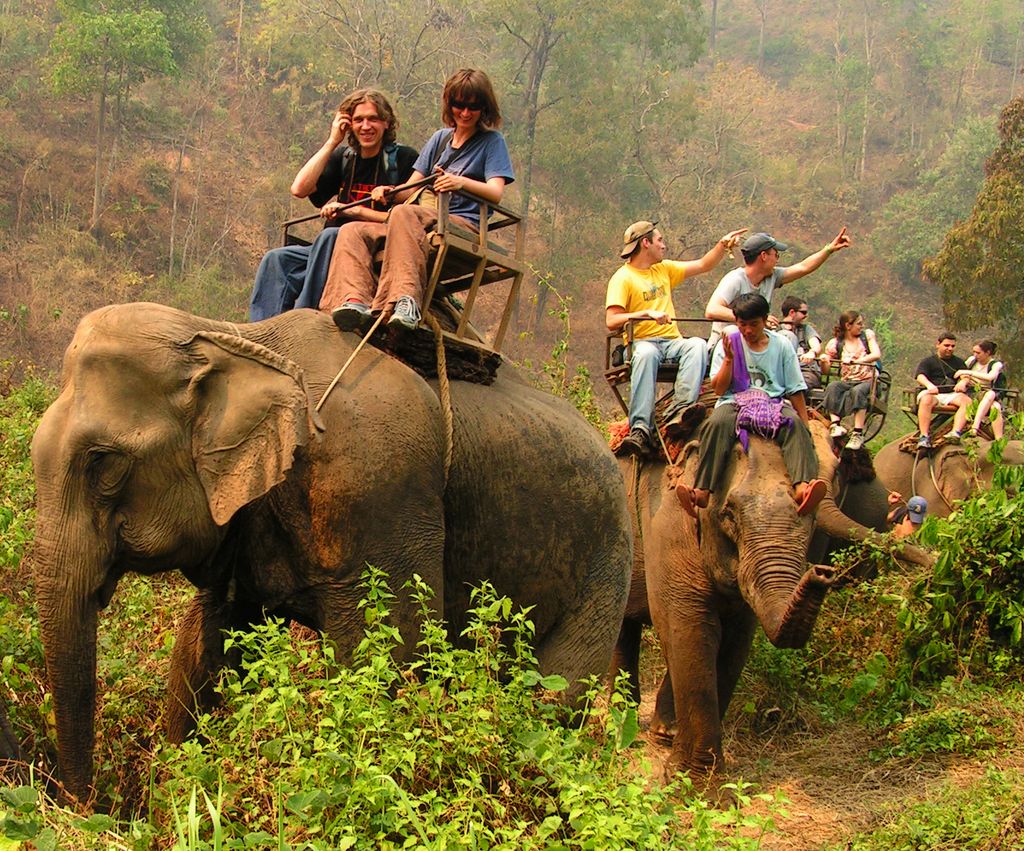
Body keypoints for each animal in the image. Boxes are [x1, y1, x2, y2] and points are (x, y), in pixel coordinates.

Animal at [32, 305, 630, 798]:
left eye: (104, 463)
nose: (86, 807)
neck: (234, 338)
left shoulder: (379, 488)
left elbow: (385, 657)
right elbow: (205, 644)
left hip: (609, 564)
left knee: (556, 698)